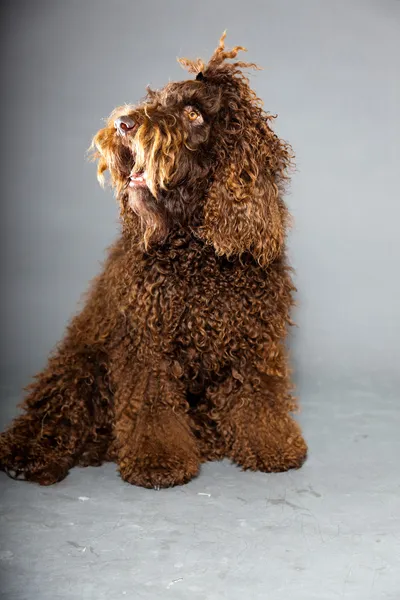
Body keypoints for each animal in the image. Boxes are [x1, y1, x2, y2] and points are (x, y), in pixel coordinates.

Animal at [0, 34, 306, 488]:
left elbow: (257, 398)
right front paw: (158, 460)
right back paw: (28, 454)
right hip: (82, 363)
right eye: (158, 101)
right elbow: (151, 406)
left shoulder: (254, 340)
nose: (123, 123)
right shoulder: (144, 341)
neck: (197, 252)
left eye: (194, 113)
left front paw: (270, 445)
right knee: (54, 411)